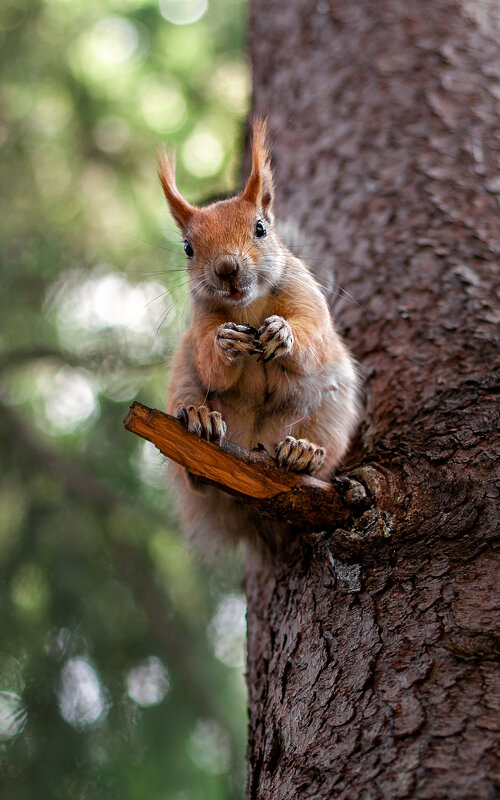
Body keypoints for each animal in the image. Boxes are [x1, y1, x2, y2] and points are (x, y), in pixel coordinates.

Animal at [158, 119, 358, 552]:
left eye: (261, 227)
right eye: (188, 248)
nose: (226, 268)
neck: (247, 306)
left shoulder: (308, 301)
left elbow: (314, 343)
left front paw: (283, 334)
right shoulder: (201, 321)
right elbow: (212, 366)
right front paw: (226, 342)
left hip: (334, 410)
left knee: (322, 457)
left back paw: (303, 452)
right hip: (182, 376)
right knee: (197, 471)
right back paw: (200, 422)